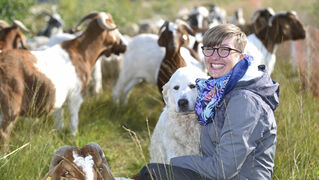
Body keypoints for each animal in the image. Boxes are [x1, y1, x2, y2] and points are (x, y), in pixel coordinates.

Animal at [0, 11, 127, 151]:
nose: (124, 45)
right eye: (114, 26)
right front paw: (74, 140)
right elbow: (73, 123)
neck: (80, 53)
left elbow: (59, 124)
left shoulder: (59, 103)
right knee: (4, 133)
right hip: (10, 107)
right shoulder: (75, 98)